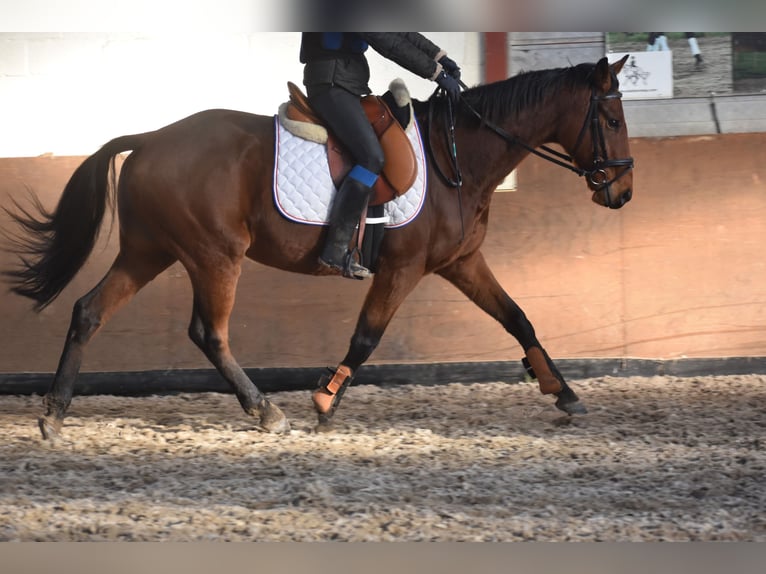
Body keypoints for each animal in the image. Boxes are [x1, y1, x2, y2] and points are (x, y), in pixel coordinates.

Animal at [1, 55, 636, 440]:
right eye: (610, 119)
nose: (623, 192)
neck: (459, 156)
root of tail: (153, 137)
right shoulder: (403, 268)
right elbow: (367, 336)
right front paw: (325, 401)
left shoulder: (460, 263)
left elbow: (519, 318)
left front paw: (563, 391)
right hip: (215, 254)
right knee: (209, 333)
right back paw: (265, 410)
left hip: (149, 251)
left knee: (89, 311)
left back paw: (54, 413)